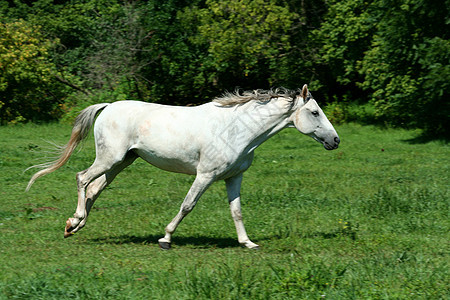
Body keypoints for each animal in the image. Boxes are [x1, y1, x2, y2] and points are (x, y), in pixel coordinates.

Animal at [26, 84, 340, 248]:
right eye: (315, 112)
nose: (335, 141)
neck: (236, 129)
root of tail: (108, 106)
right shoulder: (205, 175)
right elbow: (187, 205)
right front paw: (165, 238)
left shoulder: (234, 177)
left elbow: (236, 211)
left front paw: (247, 243)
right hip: (109, 158)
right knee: (82, 178)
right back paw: (75, 220)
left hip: (122, 162)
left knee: (94, 189)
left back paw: (72, 227)